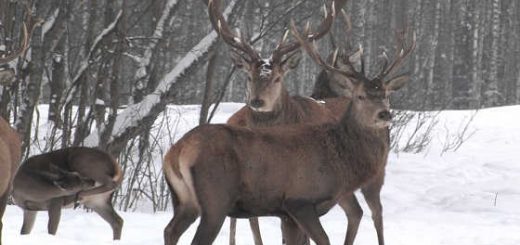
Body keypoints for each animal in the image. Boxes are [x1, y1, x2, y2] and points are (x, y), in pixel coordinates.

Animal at [162, 25, 414, 245]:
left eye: (386, 95)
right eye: (360, 96)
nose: (384, 114)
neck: (339, 161)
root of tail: (176, 152)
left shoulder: (287, 214)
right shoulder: (299, 201)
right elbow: (323, 240)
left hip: (185, 201)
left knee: (169, 230)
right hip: (215, 199)